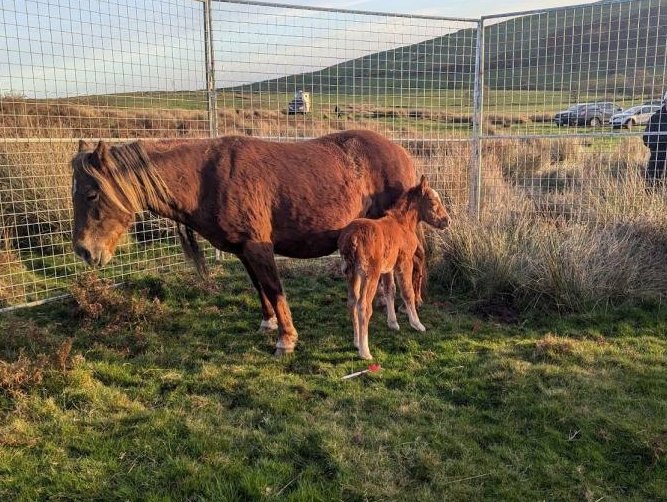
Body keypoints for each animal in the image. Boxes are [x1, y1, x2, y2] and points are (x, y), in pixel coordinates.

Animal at [71, 130, 424, 355]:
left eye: (92, 194)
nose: (85, 251)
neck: (208, 177)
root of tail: (403, 153)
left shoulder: (258, 247)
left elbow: (275, 289)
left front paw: (286, 339)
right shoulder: (243, 251)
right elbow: (260, 288)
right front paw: (268, 323)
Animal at [338, 175, 450, 360]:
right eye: (433, 202)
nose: (447, 221)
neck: (402, 223)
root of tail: (351, 238)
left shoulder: (389, 267)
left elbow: (391, 290)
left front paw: (393, 323)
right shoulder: (405, 262)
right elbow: (407, 291)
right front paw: (417, 324)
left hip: (352, 273)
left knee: (352, 302)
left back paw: (356, 342)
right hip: (370, 274)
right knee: (363, 306)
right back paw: (365, 351)